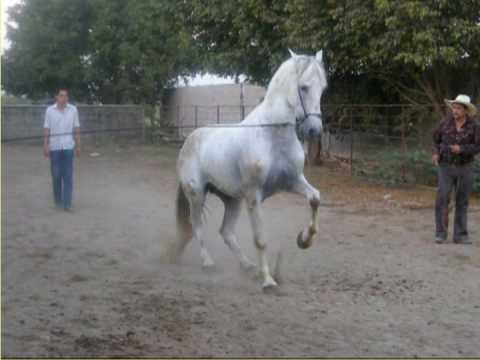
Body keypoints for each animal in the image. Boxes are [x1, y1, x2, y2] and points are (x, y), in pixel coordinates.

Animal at [168, 49, 326, 288]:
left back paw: (248, 266)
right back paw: (208, 263)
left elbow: (315, 198)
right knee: (197, 226)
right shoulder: (254, 195)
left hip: (232, 199)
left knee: (226, 232)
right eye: (304, 87)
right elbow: (260, 239)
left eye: (323, 88)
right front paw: (269, 282)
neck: (272, 135)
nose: (314, 131)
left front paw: (304, 240)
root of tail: (190, 139)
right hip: (197, 194)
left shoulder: (293, 181)